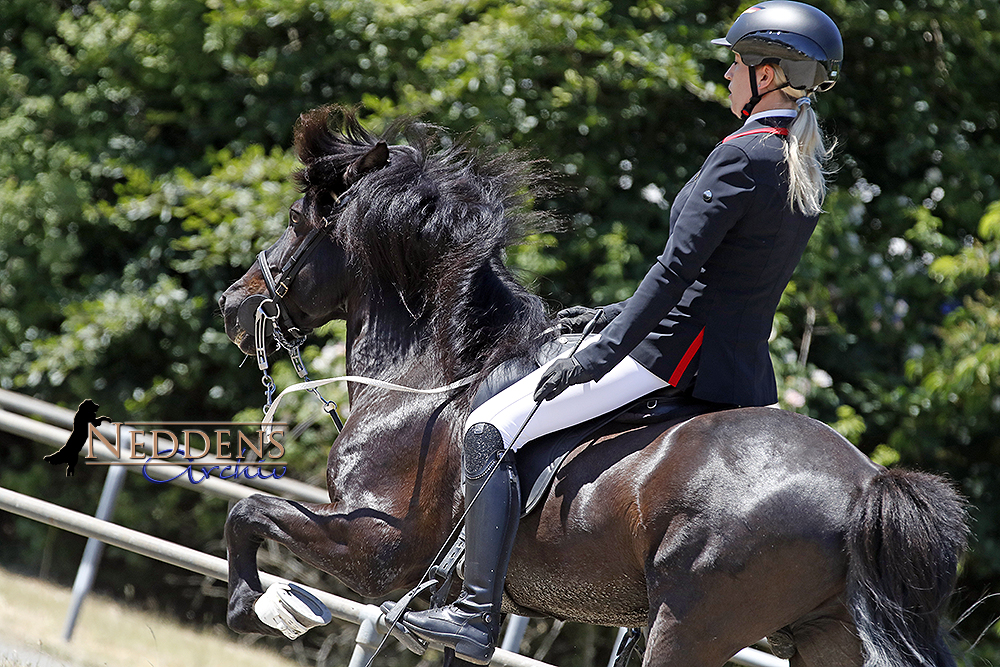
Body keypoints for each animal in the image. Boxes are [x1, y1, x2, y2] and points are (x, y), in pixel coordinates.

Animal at [219, 107, 968, 664]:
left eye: (296, 221)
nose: (233, 303)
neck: (433, 377)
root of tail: (866, 483)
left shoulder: (379, 548)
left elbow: (246, 512)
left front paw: (262, 606)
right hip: (827, 637)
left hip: (690, 625)